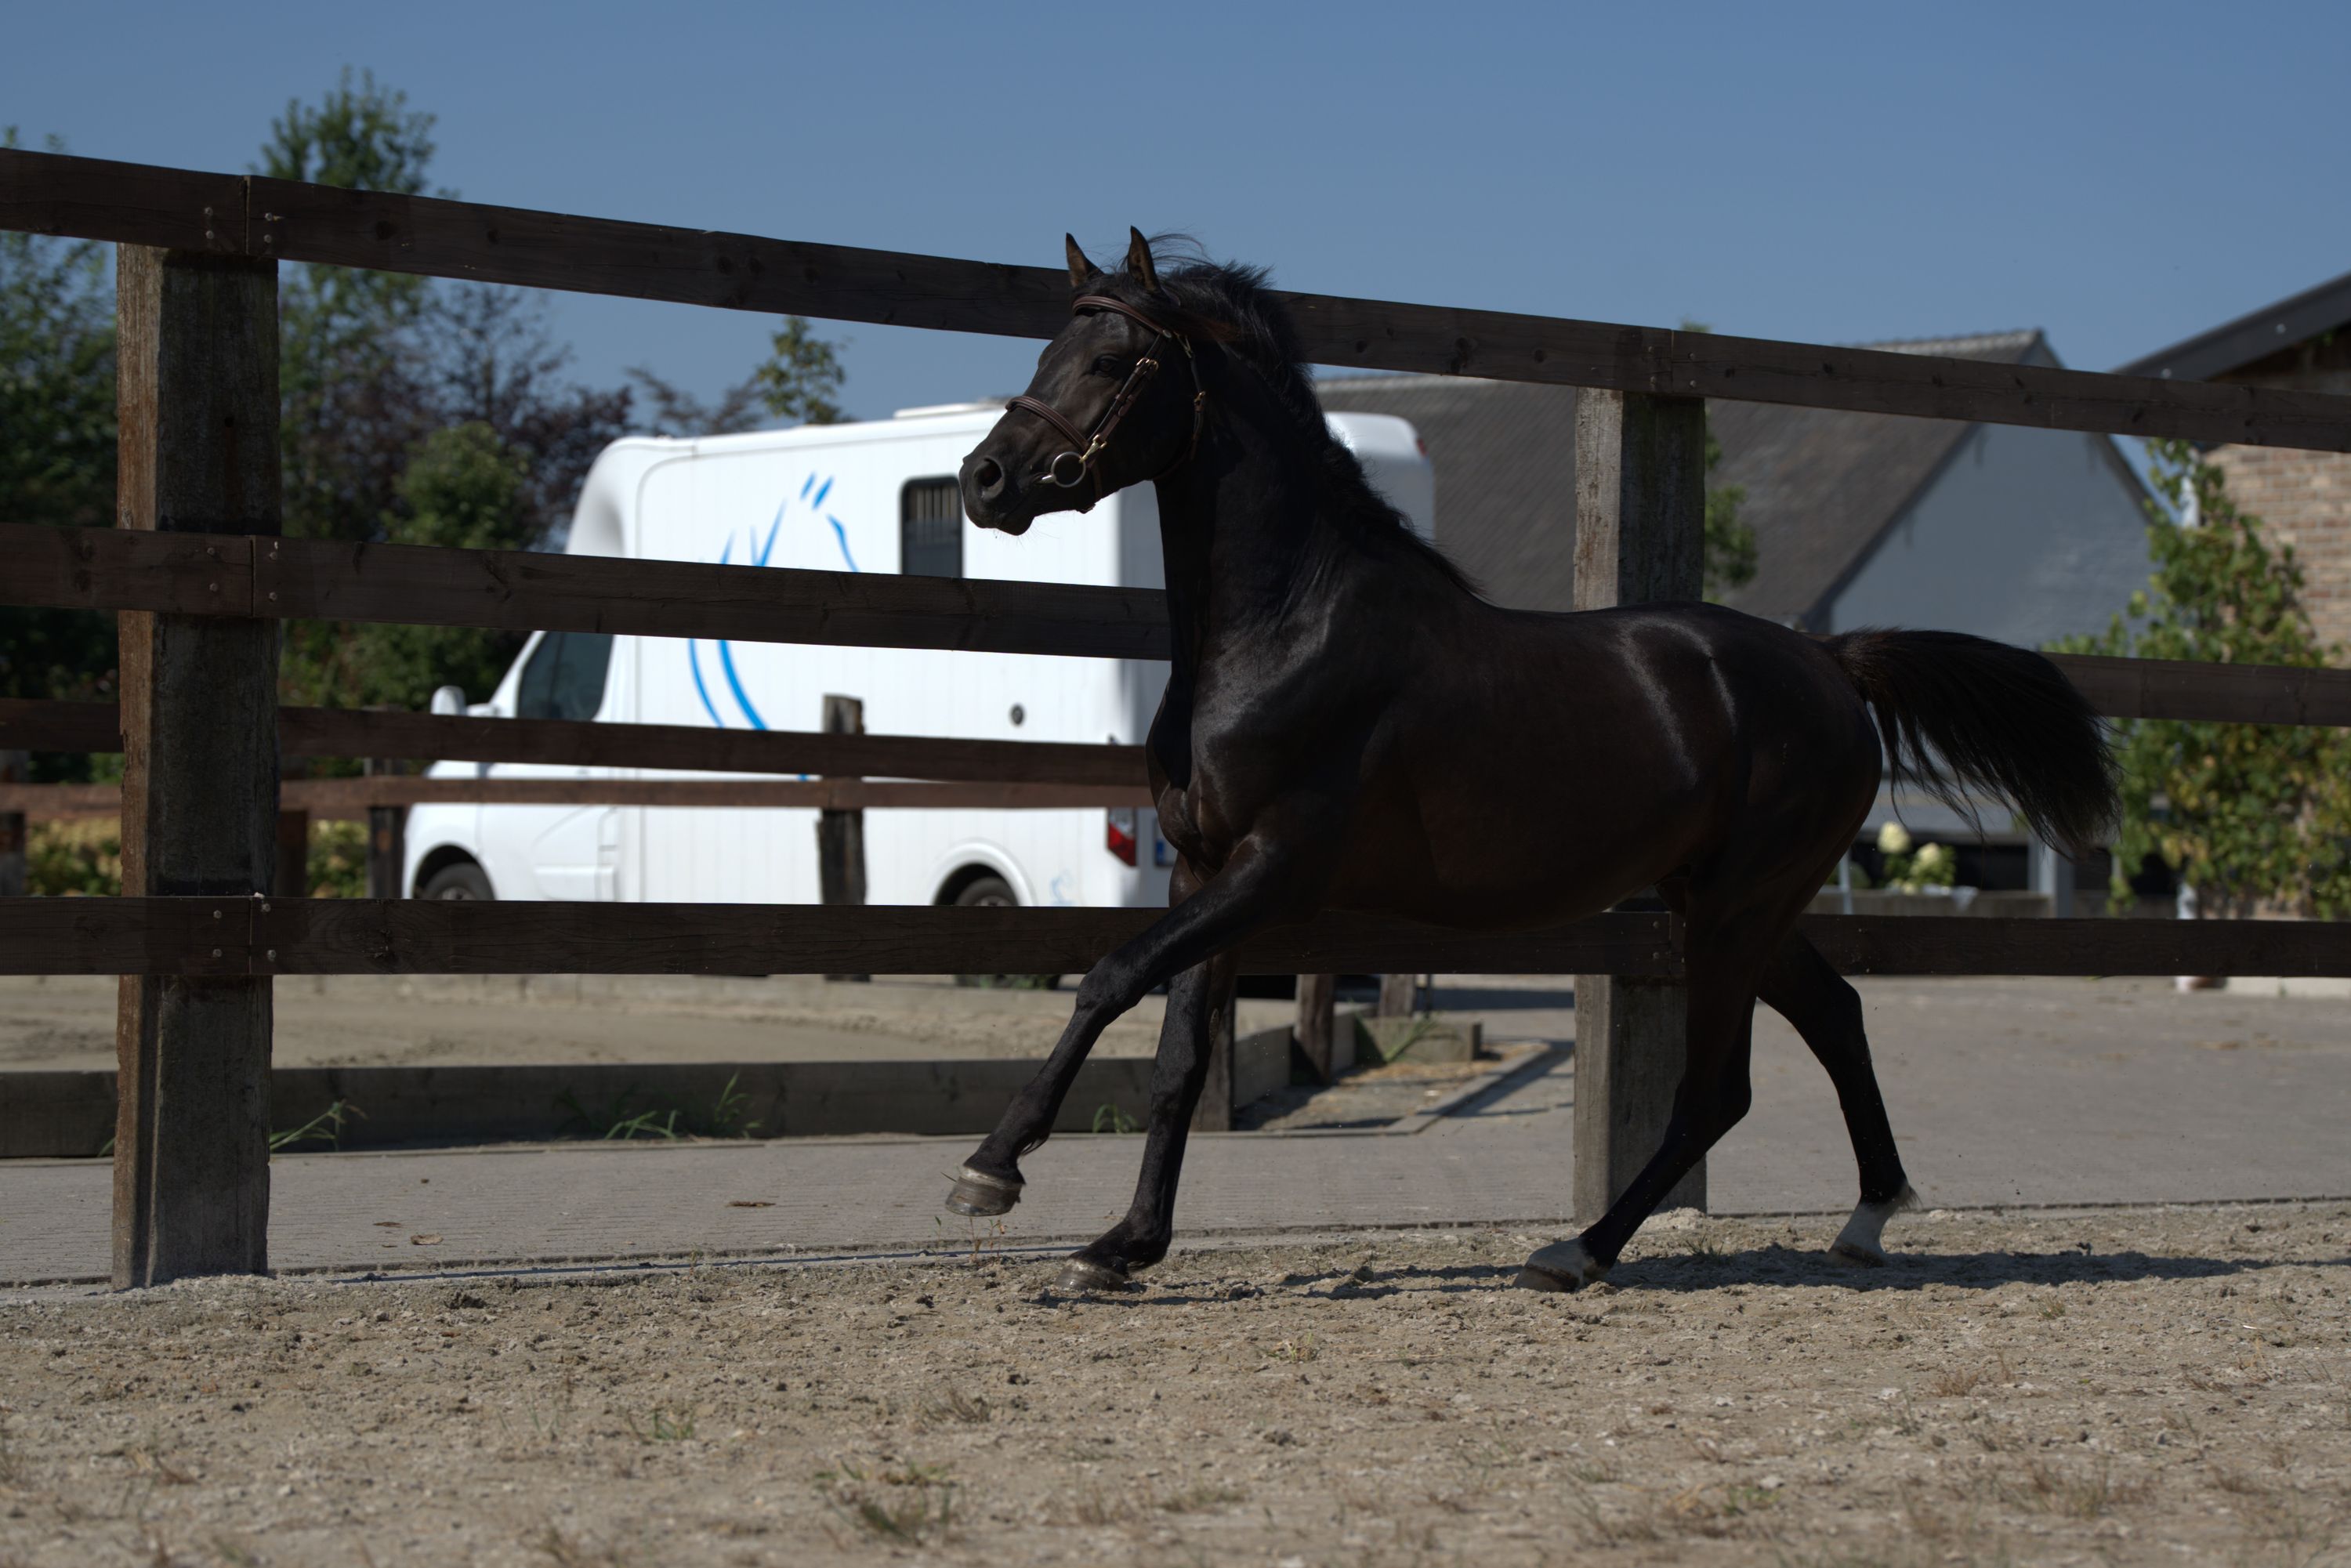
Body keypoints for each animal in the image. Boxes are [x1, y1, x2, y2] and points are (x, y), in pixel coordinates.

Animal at [945, 229, 2115, 1295]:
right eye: (1050, 347)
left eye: (1111, 360)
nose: (985, 479)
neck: (1287, 627)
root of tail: (1832, 662)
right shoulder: (1203, 867)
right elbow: (1180, 1060)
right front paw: (1121, 1247)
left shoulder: (1274, 869)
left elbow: (1109, 977)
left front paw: (991, 1170)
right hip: (1729, 901)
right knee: (1835, 1016)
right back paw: (1865, 1221)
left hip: (1736, 910)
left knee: (1717, 1090)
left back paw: (1579, 1251)